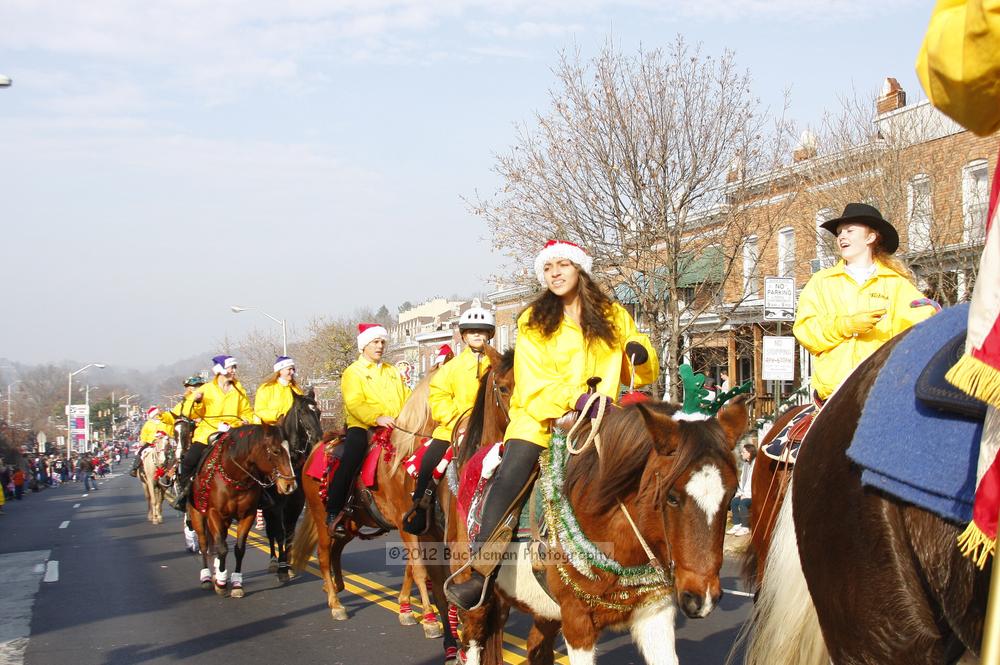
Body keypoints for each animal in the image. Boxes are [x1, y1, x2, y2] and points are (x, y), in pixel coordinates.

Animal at [187, 426, 296, 596]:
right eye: (275, 451)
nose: (290, 485)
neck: (233, 477)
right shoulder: (213, 513)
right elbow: (223, 548)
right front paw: (221, 584)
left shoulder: (248, 515)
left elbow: (239, 549)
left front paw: (237, 584)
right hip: (197, 513)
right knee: (204, 543)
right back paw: (206, 578)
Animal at [260, 390, 322, 580]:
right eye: (302, 412)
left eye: (319, 412)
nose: (318, 437)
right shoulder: (276, 506)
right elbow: (279, 533)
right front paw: (281, 568)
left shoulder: (295, 503)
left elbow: (289, 533)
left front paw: (288, 566)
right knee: (270, 530)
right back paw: (273, 562)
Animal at [290, 366, 460, 660]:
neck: (406, 458)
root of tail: (317, 448)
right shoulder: (407, 525)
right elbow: (419, 570)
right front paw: (429, 619)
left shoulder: (419, 527)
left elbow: (413, 568)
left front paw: (406, 609)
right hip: (322, 519)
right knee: (323, 555)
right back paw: (335, 603)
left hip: (349, 523)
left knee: (335, 551)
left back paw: (336, 586)